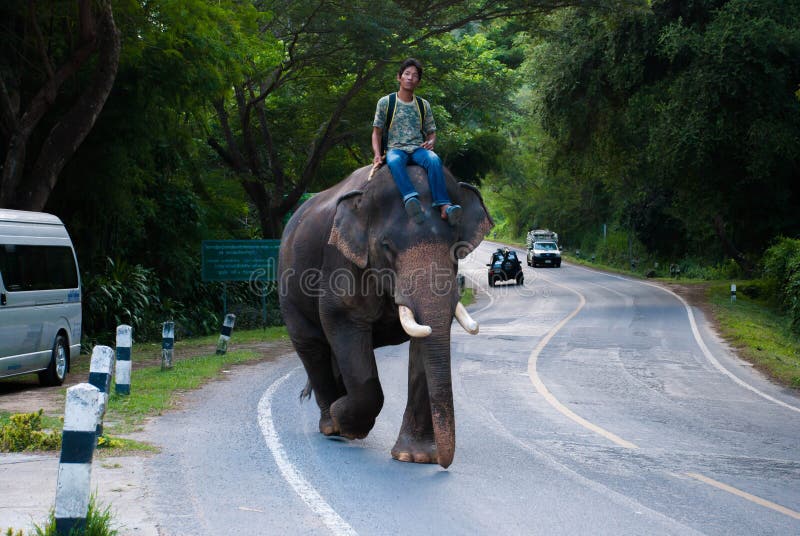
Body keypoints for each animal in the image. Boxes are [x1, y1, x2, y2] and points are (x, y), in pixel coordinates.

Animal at [278, 163, 493, 468]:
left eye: (456, 247)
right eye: (387, 247)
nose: (444, 463)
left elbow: (423, 343)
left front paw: (414, 457)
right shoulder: (341, 264)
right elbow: (343, 324)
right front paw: (348, 424)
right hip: (289, 291)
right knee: (312, 347)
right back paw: (331, 424)